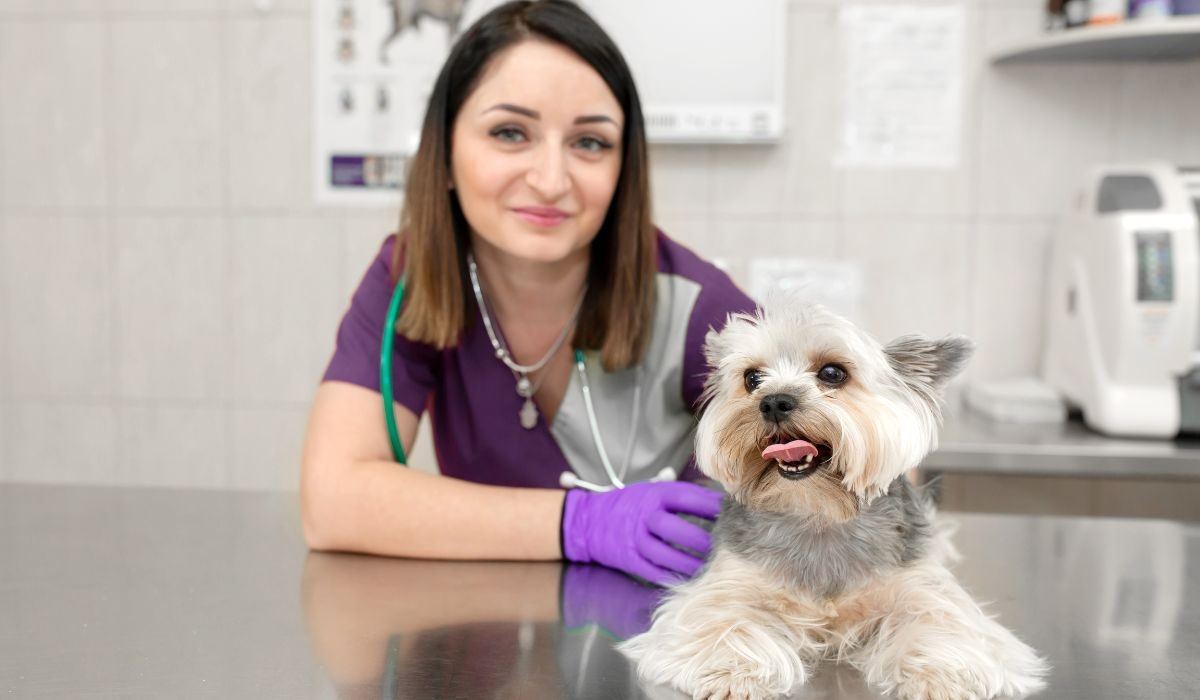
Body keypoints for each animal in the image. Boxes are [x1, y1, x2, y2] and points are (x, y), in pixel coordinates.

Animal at [624, 302, 1046, 700]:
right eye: (752, 378)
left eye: (832, 373)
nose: (773, 401)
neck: (818, 513)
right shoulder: (727, 585)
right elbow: (723, 622)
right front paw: (733, 673)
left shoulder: (919, 587)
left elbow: (941, 625)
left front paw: (940, 677)